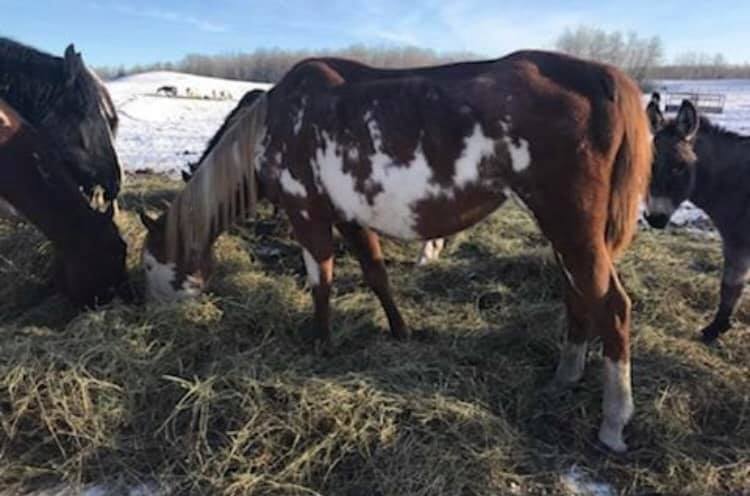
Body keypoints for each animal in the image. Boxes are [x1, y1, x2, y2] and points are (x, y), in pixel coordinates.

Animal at [139, 51, 651, 452]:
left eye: (147, 264)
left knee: (613, 307)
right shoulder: (348, 216)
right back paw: (564, 377)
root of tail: (600, 77)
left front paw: (321, 342)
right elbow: (375, 272)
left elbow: (321, 279)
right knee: (577, 295)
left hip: (570, 226)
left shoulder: (308, 214)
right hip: (570, 235)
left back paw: (612, 423)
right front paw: (401, 330)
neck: (274, 122)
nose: (148, 312)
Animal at [646, 100, 750, 343]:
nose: (654, 219)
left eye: (679, 167)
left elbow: (730, 286)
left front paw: (715, 329)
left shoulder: (737, 242)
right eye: (648, 163)